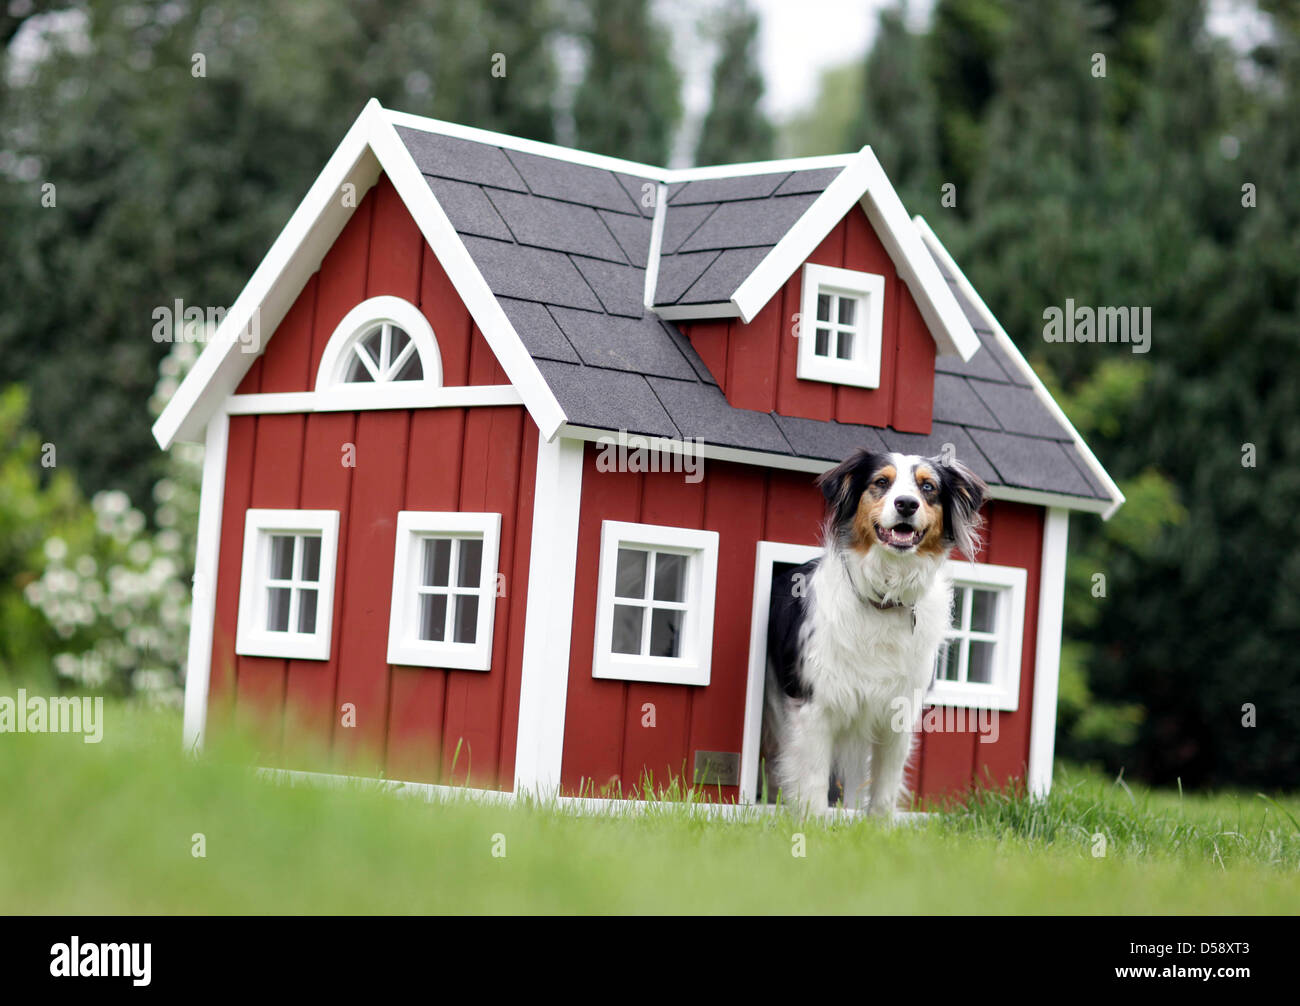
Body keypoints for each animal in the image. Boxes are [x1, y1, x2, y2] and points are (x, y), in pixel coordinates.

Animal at [759, 452, 982, 816]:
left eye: (928, 487)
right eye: (881, 482)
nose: (906, 504)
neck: (885, 599)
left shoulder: (898, 714)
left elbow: (884, 789)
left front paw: (877, 829)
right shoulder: (815, 707)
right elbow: (814, 780)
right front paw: (813, 822)